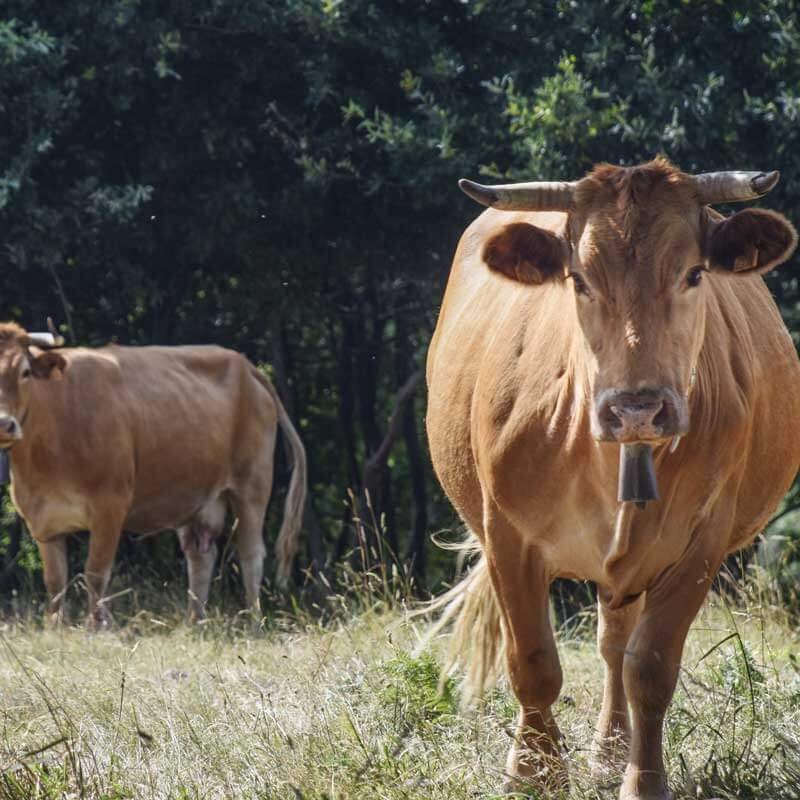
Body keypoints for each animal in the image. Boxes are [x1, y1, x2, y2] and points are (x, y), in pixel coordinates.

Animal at [0, 324, 306, 624]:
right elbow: (55, 584)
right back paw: (195, 625)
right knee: (201, 556)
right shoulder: (44, 521)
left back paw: (254, 625)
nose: (5, 424)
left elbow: (95, 574)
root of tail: (245, 365)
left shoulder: (110, 507)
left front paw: (96, 628)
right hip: (197, 496)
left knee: (251, 556)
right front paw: (55, 628)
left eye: (25, 372)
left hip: (252, 486)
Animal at [428, 158, 800, 800]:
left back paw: (610, 751)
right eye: (578, 279)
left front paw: (641, 781)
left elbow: (648, 668)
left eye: (694, 273)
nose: (637, 409)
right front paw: (533, 772)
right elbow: (532, 661)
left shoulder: (700, 544)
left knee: (615, 644)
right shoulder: (506, 536)